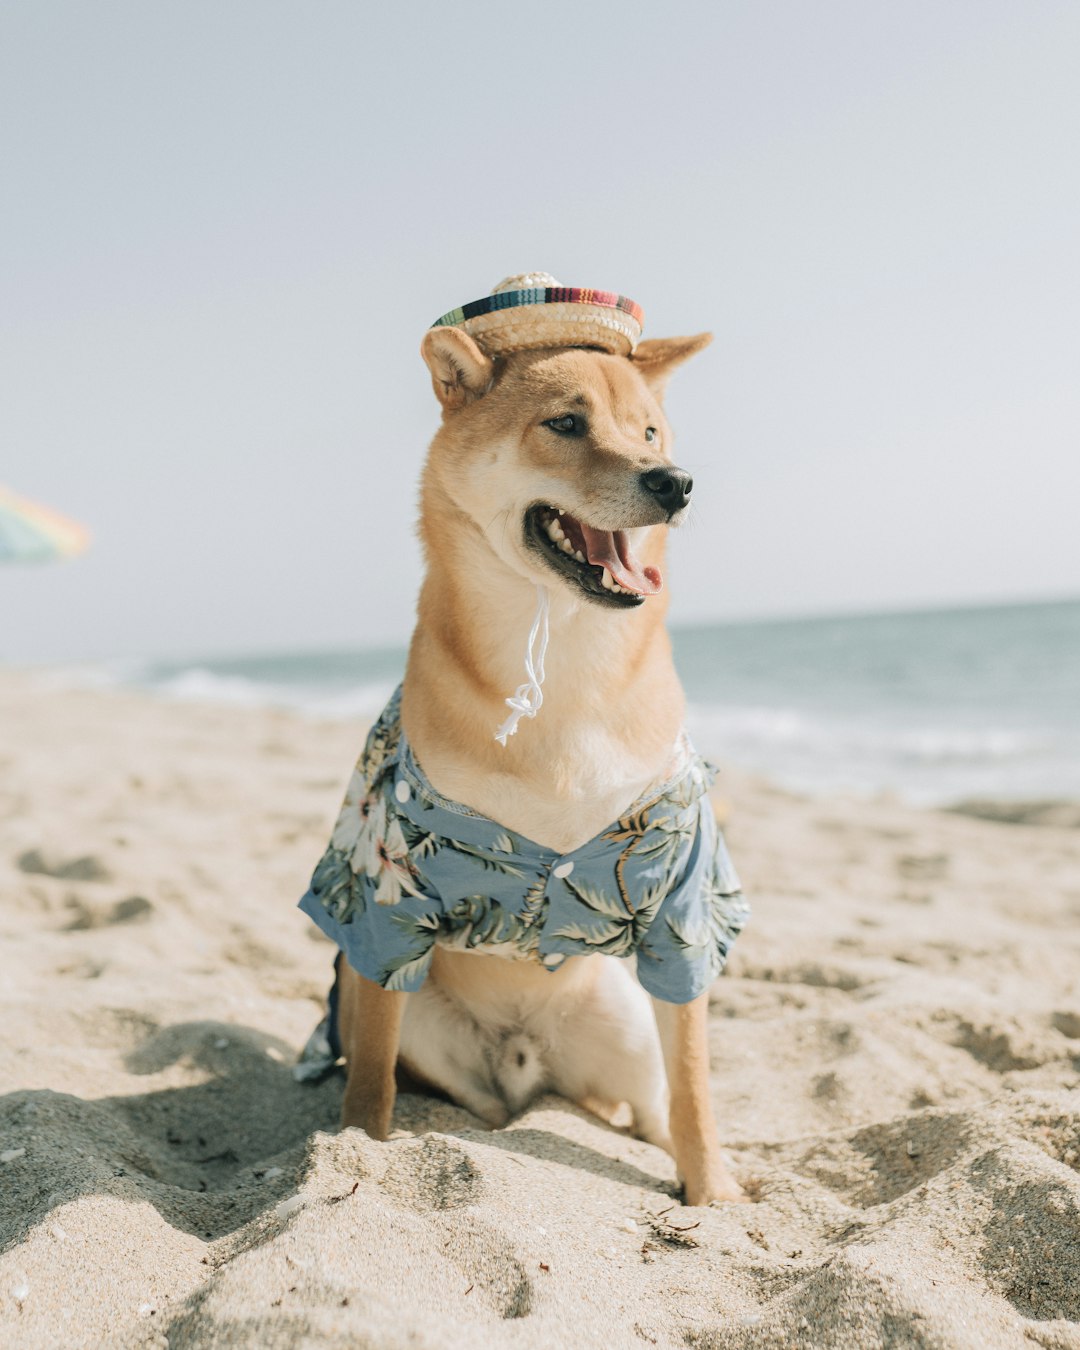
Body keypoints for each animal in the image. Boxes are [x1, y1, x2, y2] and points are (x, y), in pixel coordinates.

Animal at [299, 282, 745, 1204]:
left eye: (651, 432)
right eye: (566, 424)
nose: (676, 483)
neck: (566, 669)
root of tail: (526, 1056)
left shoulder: (681, 899)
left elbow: (694, 1086)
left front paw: (713, 1193)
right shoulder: (383, 901)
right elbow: (369, 1088)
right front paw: (354, 1157)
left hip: (622, 1022)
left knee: (647, 1108)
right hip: (407, 1015)